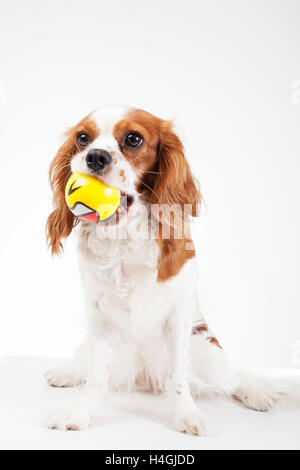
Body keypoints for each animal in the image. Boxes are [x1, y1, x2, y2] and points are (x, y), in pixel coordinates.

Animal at [44, 106, 298, 434]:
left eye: (134, 139)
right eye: (82, 138)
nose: (95, 156)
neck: (124, 236)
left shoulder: (178, 315)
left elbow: (178, 377)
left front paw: (186, 415)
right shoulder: (98, 316)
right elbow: (96, 376)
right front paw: (79, 414)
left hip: (207, 355)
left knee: (236, 377)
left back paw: (256, 394)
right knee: (85, 364)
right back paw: (67, 373)